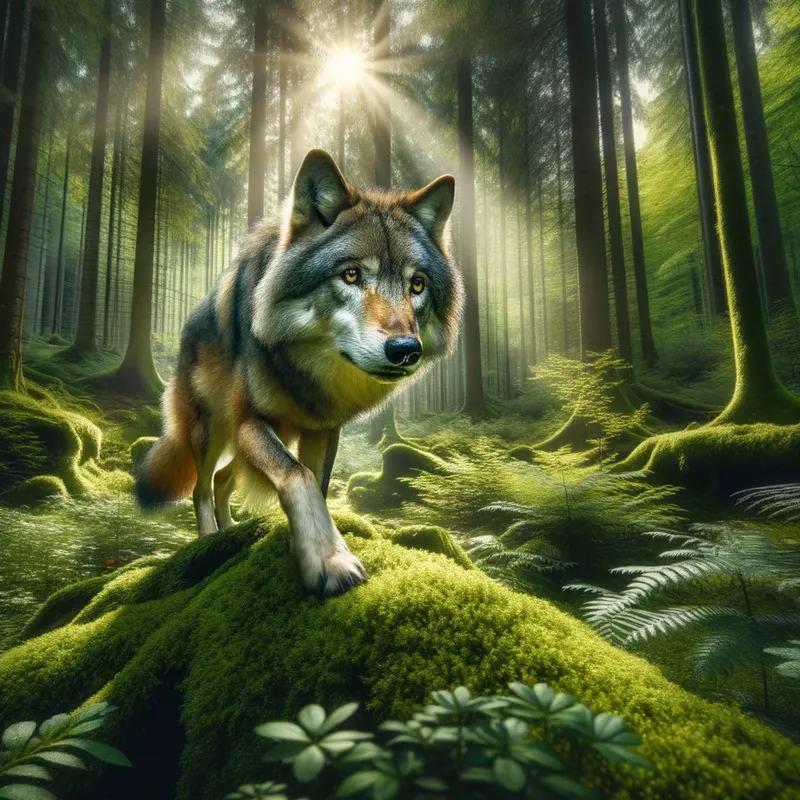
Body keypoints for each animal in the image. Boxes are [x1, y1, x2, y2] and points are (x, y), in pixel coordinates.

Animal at [135, 149, 463, 596]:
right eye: (351, 274)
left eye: (417, 285)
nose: (404, 350)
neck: (308, 371)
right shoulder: (250, 422)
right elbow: (298, 474)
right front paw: (330, 561)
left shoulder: (323, 429)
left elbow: (319, 485)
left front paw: (306, 547)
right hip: (211, 430)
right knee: (202, 487)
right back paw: (208, 542)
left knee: (221, 481)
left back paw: (231, 533)